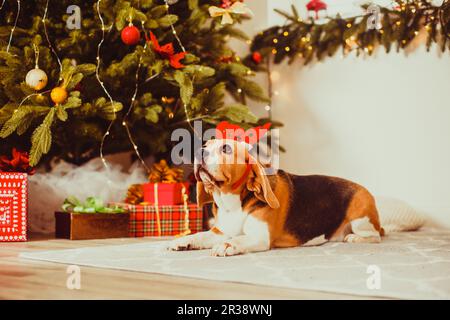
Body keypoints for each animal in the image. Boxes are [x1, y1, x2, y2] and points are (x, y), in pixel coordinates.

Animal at [169, 139, 384, 256]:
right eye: (205, 145)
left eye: (226, 149)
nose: (199, 151)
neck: (231, 203)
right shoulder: (219, 231)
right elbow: (200, 235)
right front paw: (182, 241)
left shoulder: (260, 237)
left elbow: (238, 239)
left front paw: (227, 245)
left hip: (361, 219)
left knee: (376, 237)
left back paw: (354, 238)